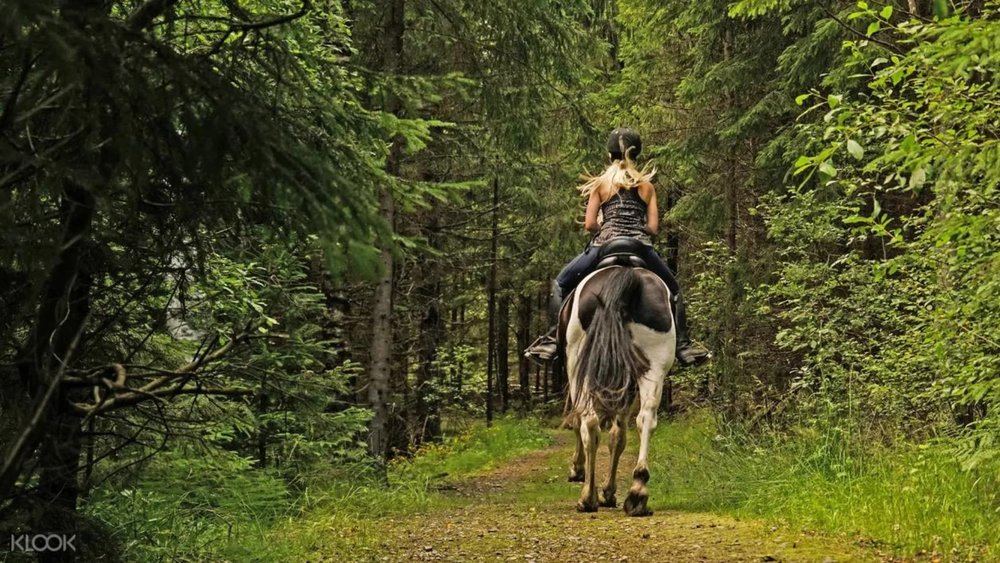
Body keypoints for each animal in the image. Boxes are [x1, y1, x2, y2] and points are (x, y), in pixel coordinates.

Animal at [558, 238, 676, 516]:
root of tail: (627, 274)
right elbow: (618, 436)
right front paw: (609, 492)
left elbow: (581, 422)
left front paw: (579, 471)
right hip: (655, 363)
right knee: (646, 418)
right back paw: (638, 492)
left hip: (579, 361)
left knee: (589, 422)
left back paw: (587, 497)